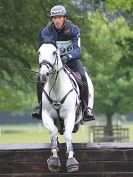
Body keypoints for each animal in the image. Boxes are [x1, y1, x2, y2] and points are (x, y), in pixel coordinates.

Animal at [38, 42, 88, 172]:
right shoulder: (46, 115)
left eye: (54, 52)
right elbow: (53, 132)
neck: (56, 87)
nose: (44, 74)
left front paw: (71, 160)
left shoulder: (69, 115)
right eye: (39, 52)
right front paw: (54, 159)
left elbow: (68, 134)